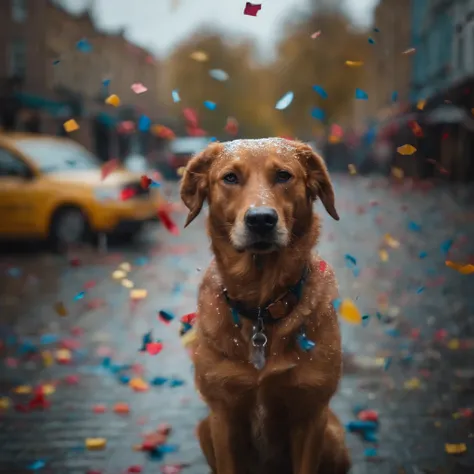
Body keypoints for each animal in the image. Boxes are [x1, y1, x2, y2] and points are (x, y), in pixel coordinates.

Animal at [180, 138, 350, 474]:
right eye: (230, 178)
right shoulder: (223, 414)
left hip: (334, 436)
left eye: (284, 175)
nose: (261, 219)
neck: (261, 303)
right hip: (205, 428)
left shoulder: (311, 413)